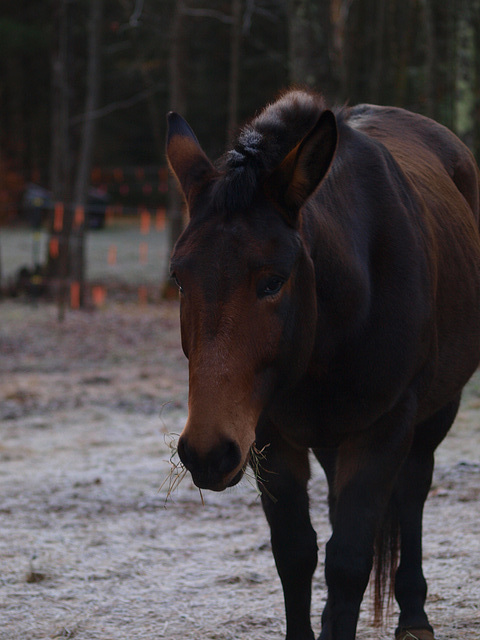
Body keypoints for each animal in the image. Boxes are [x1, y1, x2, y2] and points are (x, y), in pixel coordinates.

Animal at [165, 91, 480, 640]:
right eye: (180, 279)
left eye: (273, 281)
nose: (207, 452)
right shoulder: (269, 433)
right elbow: (297, 553)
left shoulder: (385, 427)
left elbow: (350, 559)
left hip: (435, 411)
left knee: (413, 492)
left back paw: (414, 615)